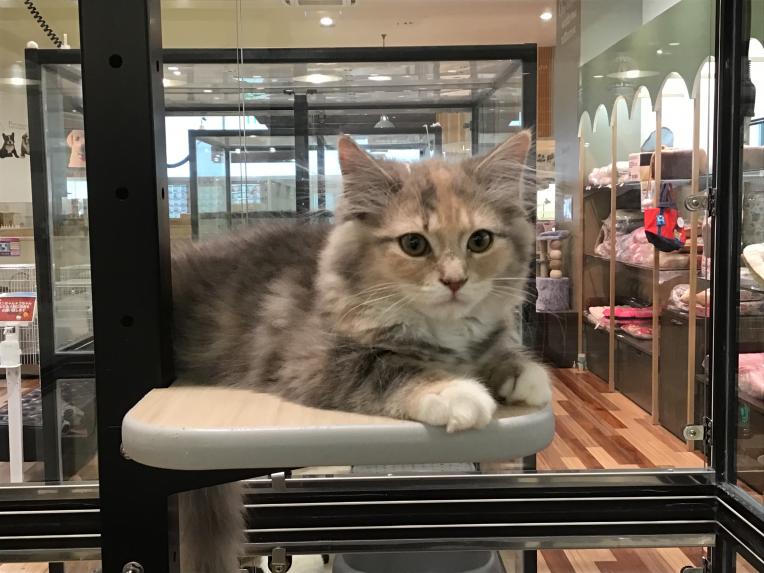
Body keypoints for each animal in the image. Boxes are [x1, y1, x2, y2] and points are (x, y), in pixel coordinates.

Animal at [172, 131, 552, 572]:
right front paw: (456, 391)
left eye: (480, 240)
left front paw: (521, 372)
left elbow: (492, 348)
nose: (455, 281)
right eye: (413, 244)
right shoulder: (314, 359)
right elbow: (391, 366)